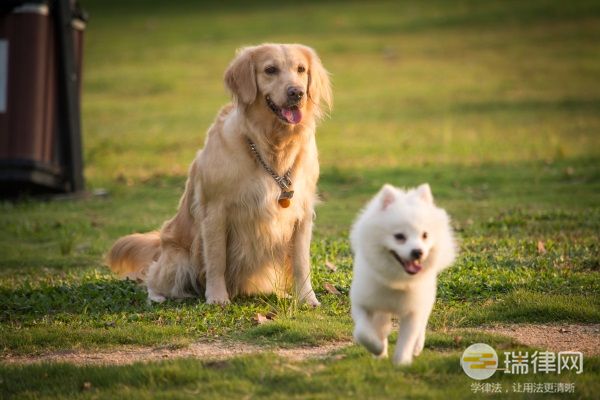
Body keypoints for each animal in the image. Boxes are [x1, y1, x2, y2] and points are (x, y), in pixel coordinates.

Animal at [350, 184, 458, 366]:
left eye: (425, 235)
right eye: (399, 236)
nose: (418, 252)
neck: (397, 281)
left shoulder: (413, 310)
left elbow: (407, 338)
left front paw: (402, 363)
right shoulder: (363, 303)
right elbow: (363, 333)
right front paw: (378, 348)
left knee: (422, 325)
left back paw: (417, 346)